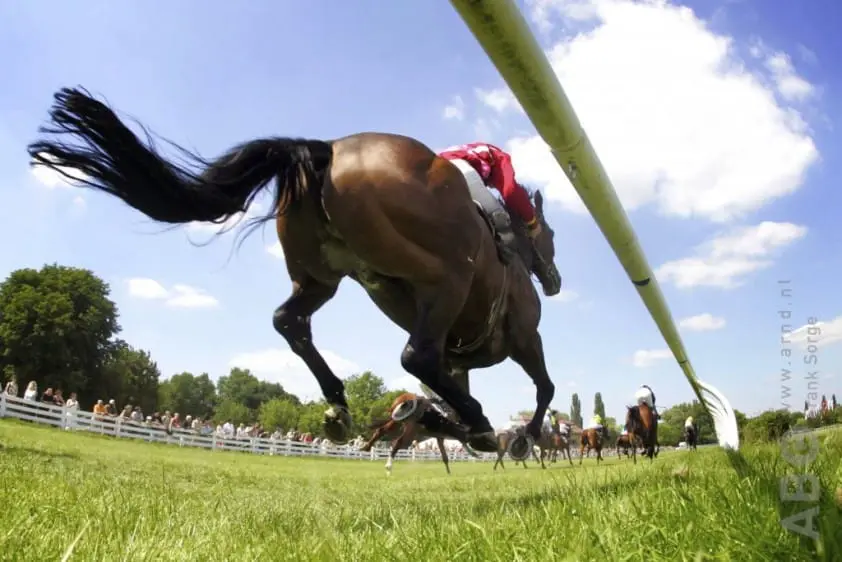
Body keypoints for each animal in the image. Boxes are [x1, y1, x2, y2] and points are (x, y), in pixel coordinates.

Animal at [28, 88, 563, 455]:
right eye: (553, 235)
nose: (555, 282)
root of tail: (327, 149)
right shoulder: (525, 337)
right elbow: (545, 386)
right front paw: (523, 435)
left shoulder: (461, 359)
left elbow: (456, 387)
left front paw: (442, 420)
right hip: (444, 278)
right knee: (415, 355)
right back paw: (479, 424)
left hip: (321, 278)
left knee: (290, 321)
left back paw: (340, 406)